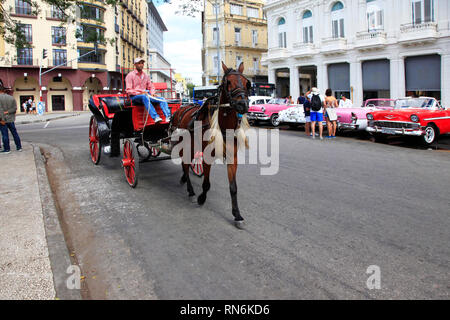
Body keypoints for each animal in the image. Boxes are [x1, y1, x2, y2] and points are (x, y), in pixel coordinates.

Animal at [171, 61, 251, 229]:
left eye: (247, 83)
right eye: (228, 82)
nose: (243, 104)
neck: (222, 125)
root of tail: (181, 109)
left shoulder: (232, 158)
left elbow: (233, 187)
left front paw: (237, 215)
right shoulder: (207, 156)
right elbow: (206, 183)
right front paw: (201, 198)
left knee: (185, 165)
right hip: (185, 146)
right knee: (185, 165)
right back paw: (190, 191)